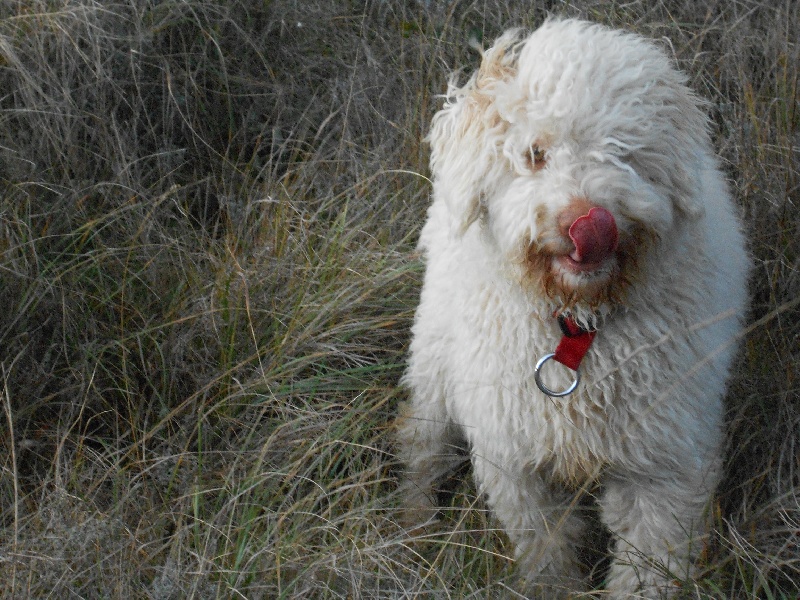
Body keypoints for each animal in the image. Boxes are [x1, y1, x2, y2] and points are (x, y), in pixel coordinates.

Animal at [397, 18, 750, 598]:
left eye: (625, 150)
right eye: (535, 153)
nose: (591, 223)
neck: (577, 325)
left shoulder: (668, 468)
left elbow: (647, 569)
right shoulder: (514, 461)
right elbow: (546, 553)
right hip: (434, 363)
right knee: (420, 441)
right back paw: (413, 526)